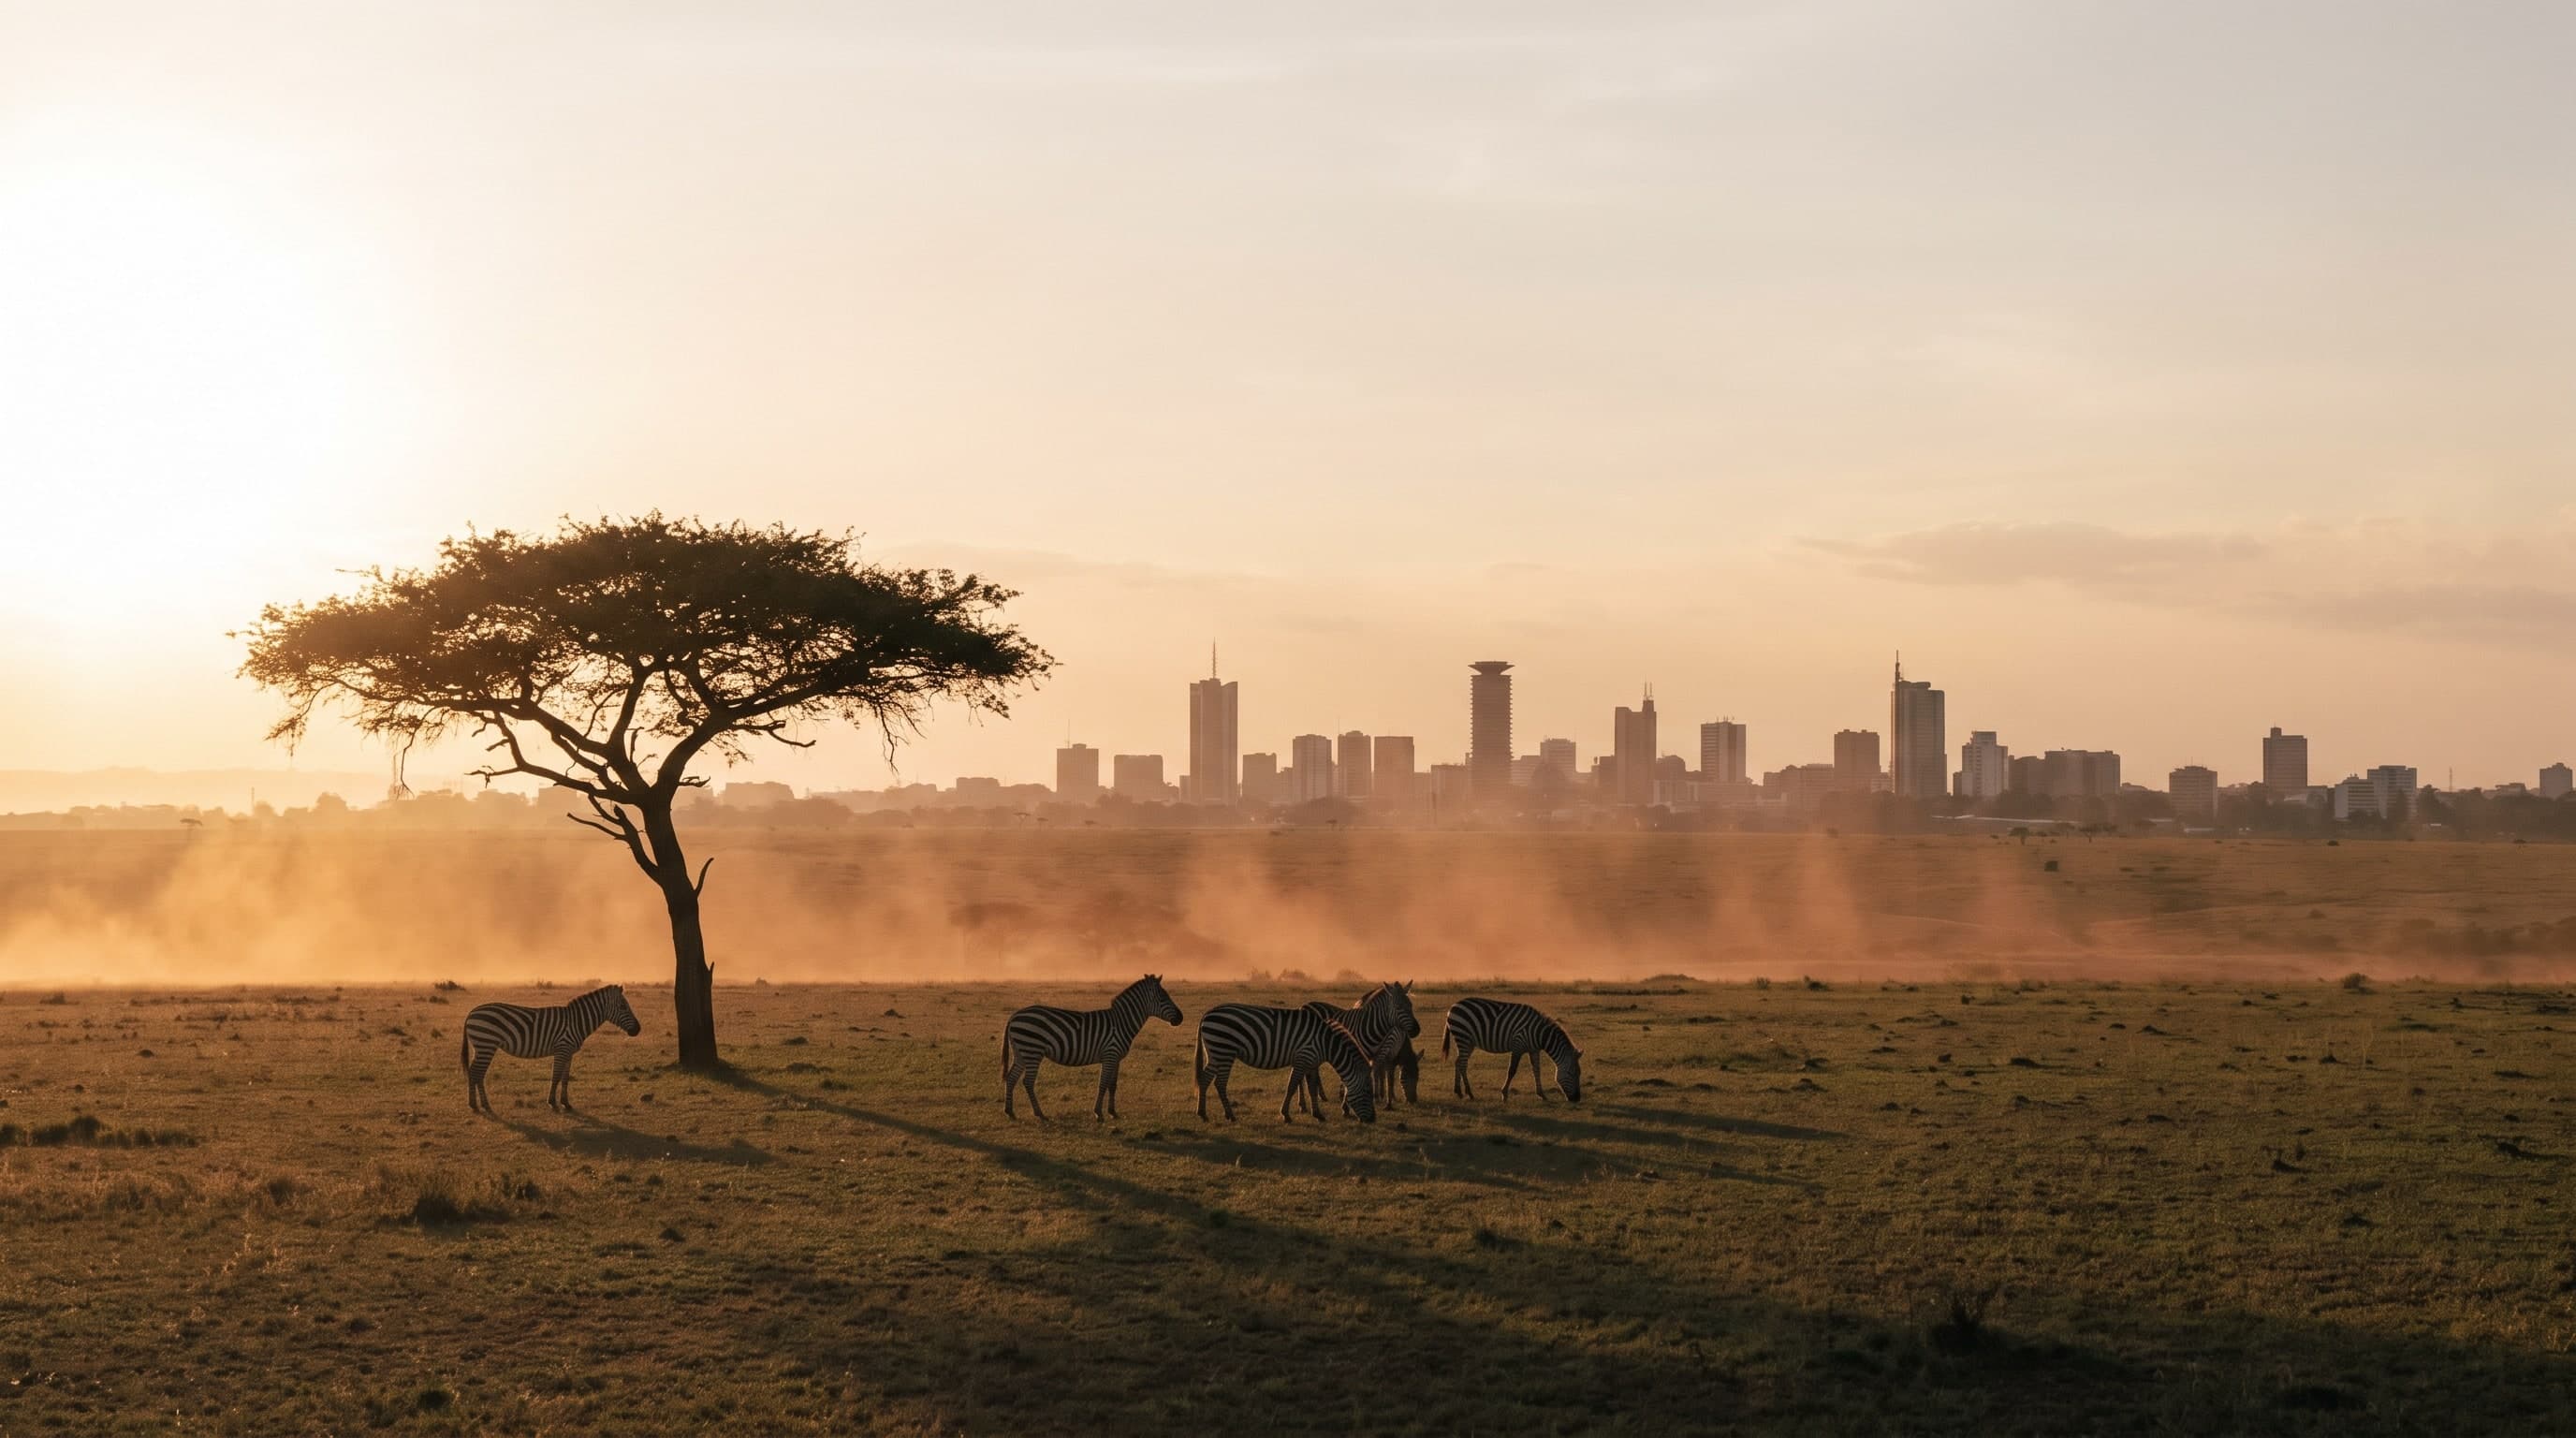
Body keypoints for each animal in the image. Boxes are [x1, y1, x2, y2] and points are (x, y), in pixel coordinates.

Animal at [460, 984, 642, 1113]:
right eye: (623, 1006)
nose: (638, 1030)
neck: (576, 1021)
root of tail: (471, 1012)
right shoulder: (562, 1049)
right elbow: (555, 1076)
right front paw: (552, 1103)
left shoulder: (569, 1053)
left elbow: (565, 1078)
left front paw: (566, 1103)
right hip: (486, 1045)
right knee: (477, 1073)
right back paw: (480, 1105)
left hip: (481, 1047)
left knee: (474, 1072)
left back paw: (477, 1104)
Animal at [1000, 974, 1184, 1121]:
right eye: (1163, 997)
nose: (1181, 1018)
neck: (1122, 1023)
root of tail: (1014, 1015)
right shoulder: (1110, 1055)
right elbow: (1102, 1084)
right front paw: (1098, 1113)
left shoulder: (1116, 1059)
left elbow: (1113, 1085)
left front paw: (1113, 1112)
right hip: (1033, 1051)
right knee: (1028, 1082)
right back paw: (1039, 1114)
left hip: (1021, 1052)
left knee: (1011, 1078)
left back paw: (1010, 1112)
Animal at [1194, 1003, 1379, 1123]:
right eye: (1368, 1091)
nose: (1373, 1120)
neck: (1326, 1043)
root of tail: (1207, 1013)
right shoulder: (1303, 1058)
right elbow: (1292, 1086)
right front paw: (1286, 1115)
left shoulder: (1312, 1063)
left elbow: (1312, 1088)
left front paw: (1317, 1114)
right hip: (1224, 1050)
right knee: (1219, 1082)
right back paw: (1227, 1115)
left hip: (1216, 1052)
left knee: (1206, 1079)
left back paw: (1204, 1113)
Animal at [1292, 981, 1420, 1115]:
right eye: (1398, 1007)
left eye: (1411, 1005)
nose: (1417, 1030)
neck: (1370, 1026)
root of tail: (1304, 1006)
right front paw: (1348, 1106)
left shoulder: (1382, 1055)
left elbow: (1382, 1076)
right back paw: (1302, 1105)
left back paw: (1320, 1097)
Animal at [1440, 997, 1583, 1103]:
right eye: (1572, 1073)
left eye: (1579, 1074)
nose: (1577, 1099)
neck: (1540, 1034)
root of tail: (1453, 1006)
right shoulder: (1518, 1046)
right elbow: (1512, 1071)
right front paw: (1504, 1095)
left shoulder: (1534, 1050)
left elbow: (1537, 1070)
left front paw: (1542, 1094)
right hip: (1463, 1037)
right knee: (1462, 1064)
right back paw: (1469, 1093)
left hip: (1468, 1042)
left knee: (1458, 1062)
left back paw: (1458, 1092)